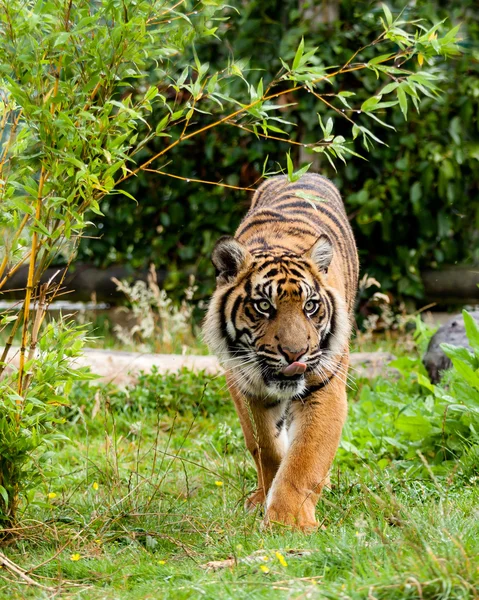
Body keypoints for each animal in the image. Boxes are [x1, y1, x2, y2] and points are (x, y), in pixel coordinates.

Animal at [203, 172, 360, 528]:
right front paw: (266, 499)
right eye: (264, 306)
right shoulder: (243, 384)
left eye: (310, 306)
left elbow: (305, 458)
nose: (295, 354)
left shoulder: (325, 387)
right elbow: (266, 446)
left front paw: (289, 522)